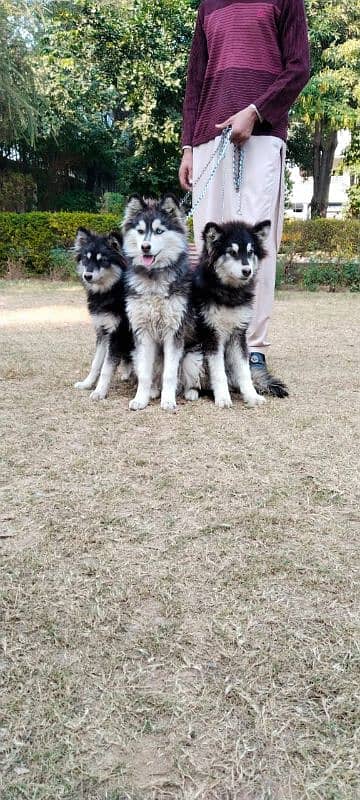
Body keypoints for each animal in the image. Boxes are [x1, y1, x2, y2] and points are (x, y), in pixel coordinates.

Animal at [74, 227, 134, 400]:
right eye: (86, 259)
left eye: (103, 260)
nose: (87, 276)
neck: (112, 290)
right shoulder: (103, 332)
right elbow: (96, 363)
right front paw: (87, 384)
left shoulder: (117, 334)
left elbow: (107, 367)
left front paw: (100, 391)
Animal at [122, 191, 191, 410]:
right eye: (141, 231)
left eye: (159, 231)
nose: (145, 247)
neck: (153, 279)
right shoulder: (143, 332)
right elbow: (145, 373)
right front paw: (140, 399)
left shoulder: (173, 332)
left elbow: (169, 374)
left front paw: (168, 400)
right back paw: (152, 390)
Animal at [183, 217, 270, 410]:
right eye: (232, 252)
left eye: (250, 252)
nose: (247, 271)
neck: (229, 292)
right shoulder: (212, 335)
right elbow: (218, 372)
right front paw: (222, 397)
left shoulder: (239, 335)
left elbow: (244, 371)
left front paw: (252, 396)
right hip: (194, 356)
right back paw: (192, 392)